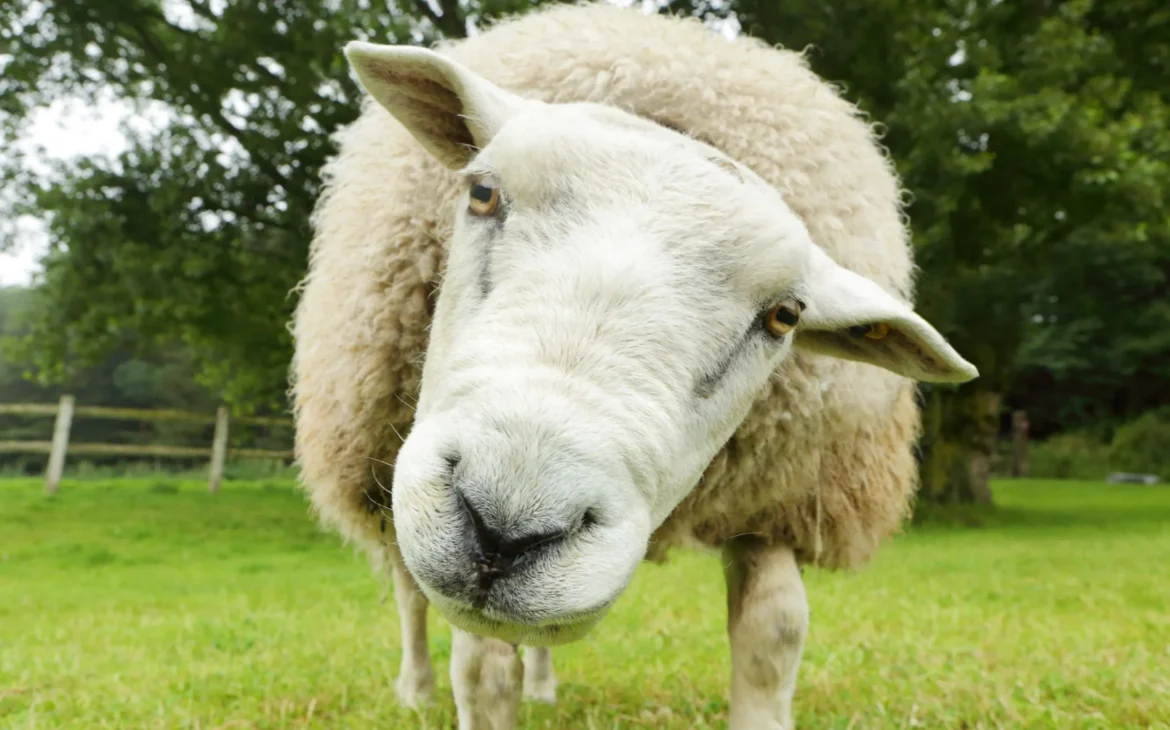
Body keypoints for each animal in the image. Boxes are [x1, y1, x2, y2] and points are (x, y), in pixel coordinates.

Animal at [289, 3, 978, 729]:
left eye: (785, 316)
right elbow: (480, 670)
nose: (505, 529)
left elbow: (773, 632)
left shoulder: (775, 499)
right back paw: (416, 689)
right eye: (481, 193)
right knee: (407, 589)